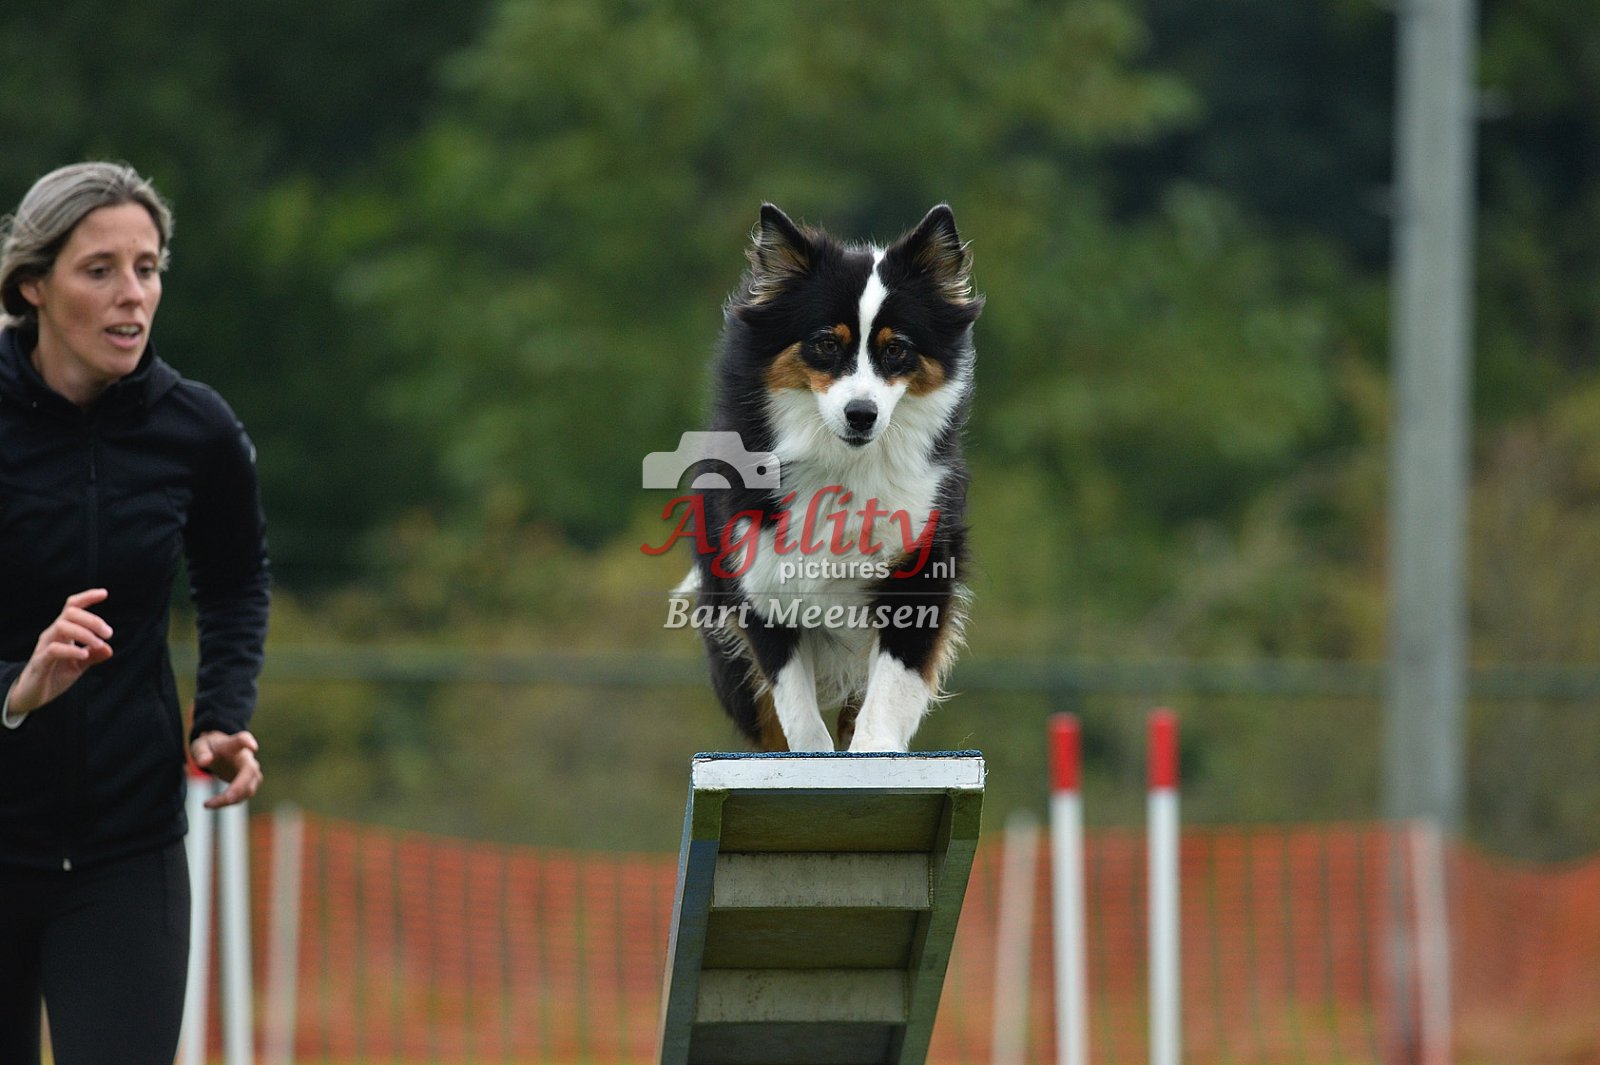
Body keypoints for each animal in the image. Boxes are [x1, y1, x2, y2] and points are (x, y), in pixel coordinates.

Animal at [667, 203, 982, 753]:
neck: (845, 463)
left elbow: (888, 694)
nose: (862, 415)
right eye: (824, 344)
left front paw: (873, 754)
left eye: (896, 349)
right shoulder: (761, 583)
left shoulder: (920, 571)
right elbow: (797, 712)